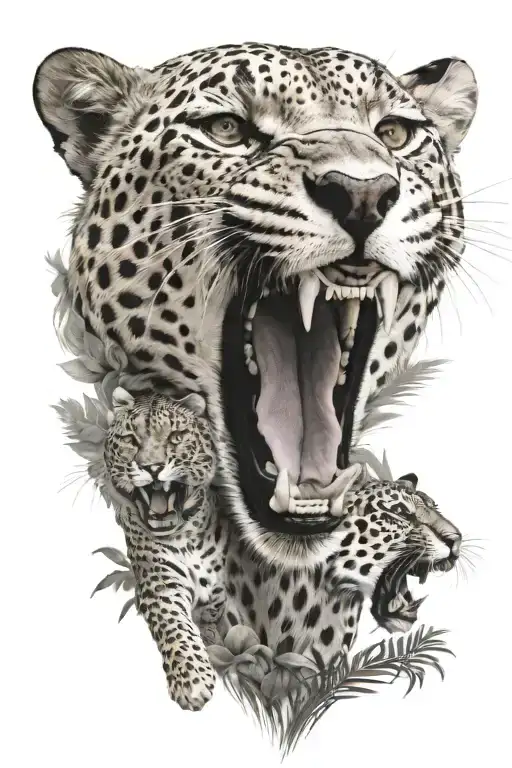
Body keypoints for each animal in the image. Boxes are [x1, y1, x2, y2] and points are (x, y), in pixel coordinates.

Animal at [103, 386, 229, 710]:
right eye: (131, 439)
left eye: (176, 436)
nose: (153, 468)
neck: (184, 537)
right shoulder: (160, 583)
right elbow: (175, 628)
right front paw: (192, 683)